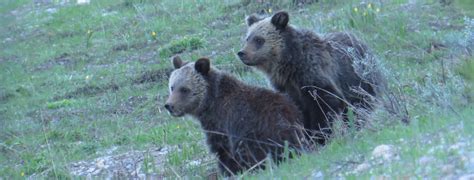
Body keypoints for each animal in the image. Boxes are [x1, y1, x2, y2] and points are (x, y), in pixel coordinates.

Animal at [165, 56, 310, 176]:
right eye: (172, 87)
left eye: (184, 89)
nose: (169, 106)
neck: (210, 102)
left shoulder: (223, 123)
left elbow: (223, 151)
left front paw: (229, 171)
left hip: (259, 131)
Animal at [239, 11, 384, 144]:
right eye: (247, 38)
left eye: (259, 39)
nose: (242, 53)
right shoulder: (286, 88)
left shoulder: (315, 77)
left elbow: (322, 106)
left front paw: (318, 136)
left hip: (357, 80)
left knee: (358, 105)